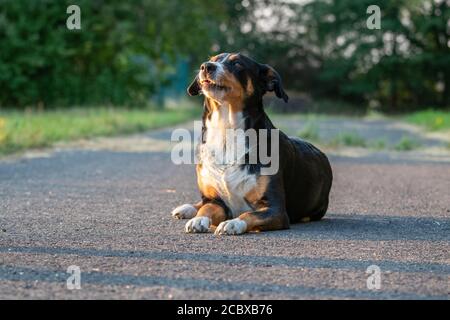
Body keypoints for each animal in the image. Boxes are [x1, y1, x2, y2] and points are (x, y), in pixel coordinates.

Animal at [171, 53, 332, 235]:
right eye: (212, 59)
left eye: (237, 63)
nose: (206, 66)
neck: (226, 131)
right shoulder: (215, 201)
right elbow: (206, 208)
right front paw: (198, 219)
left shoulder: (275, 209)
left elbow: (249, 214)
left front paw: (232, 223)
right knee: (201, 203)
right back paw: (187, 208)